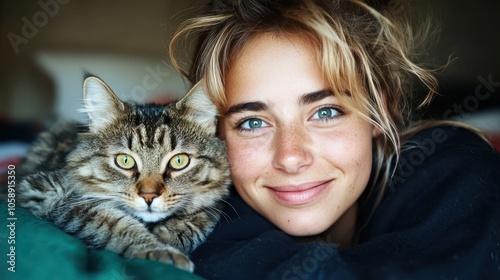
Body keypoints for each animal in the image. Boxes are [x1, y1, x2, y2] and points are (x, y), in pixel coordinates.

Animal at [17, 74, 232, 272]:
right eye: (125, 161)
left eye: (179, 161)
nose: (148, 196)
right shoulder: (45, 192)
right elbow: (115, 226)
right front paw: (162, 251)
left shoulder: (212, 207)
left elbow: (197, 221)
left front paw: (168, 237)